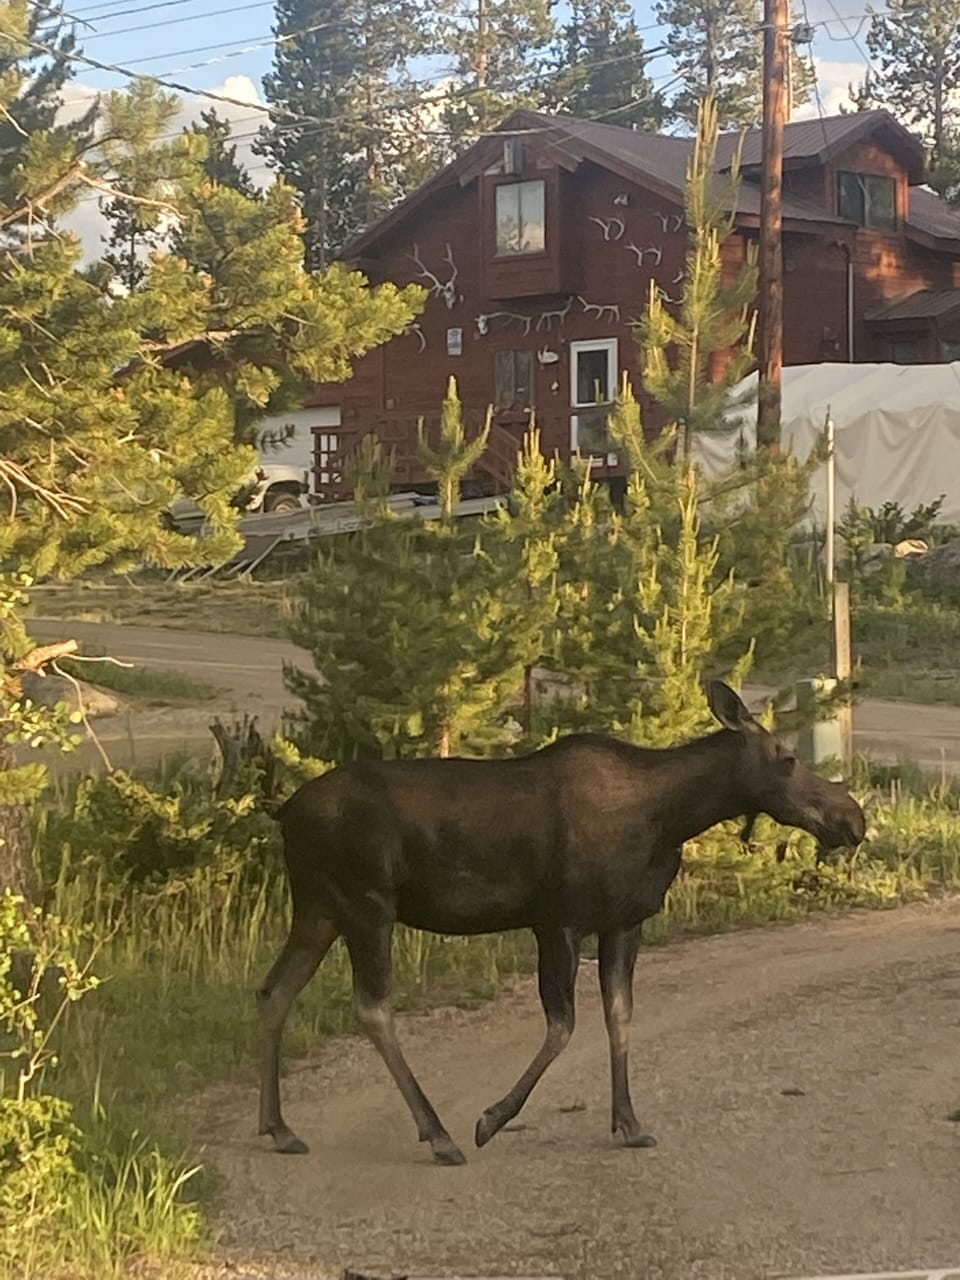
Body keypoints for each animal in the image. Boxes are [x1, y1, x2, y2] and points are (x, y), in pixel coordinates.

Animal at [256, 681, 865, 1167]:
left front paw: (630, 1123)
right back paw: (438, 1134)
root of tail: (284, 812)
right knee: (372, 1006)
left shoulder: (624, 923)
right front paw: (491, 1119)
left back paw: (279, 1127)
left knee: (274, 991)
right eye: (786, 757)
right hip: (367, 905)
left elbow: (619, 1015)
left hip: (319, 907)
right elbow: (564, 1025)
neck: (670, 818)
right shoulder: (558, 920)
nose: (853, 818)